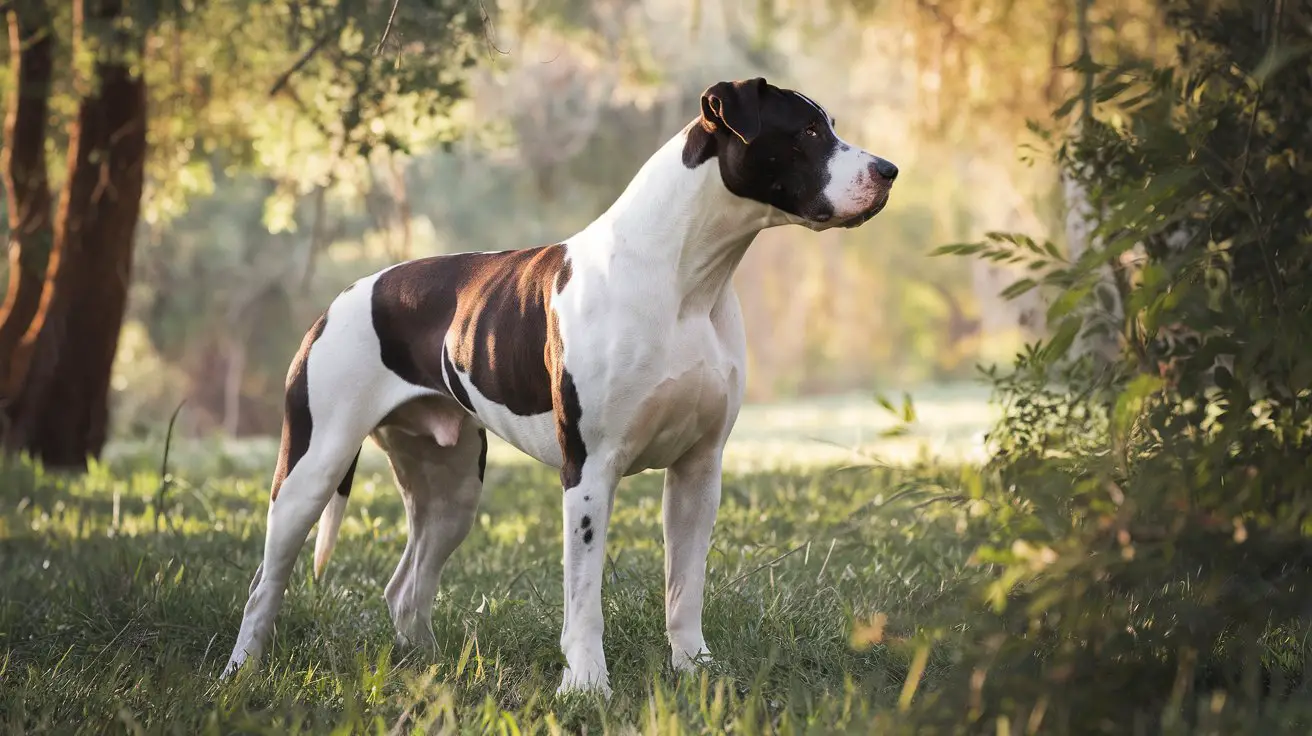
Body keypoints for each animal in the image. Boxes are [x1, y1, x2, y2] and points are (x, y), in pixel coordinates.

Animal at [225, 77, 897, 692]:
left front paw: (695, 670)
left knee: (406, 587)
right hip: (310, 470)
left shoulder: (699, 469)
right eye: (807, 131)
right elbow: (584, 597)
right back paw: (241, 672)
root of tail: (339, 300)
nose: (889, 170)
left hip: (450, 491)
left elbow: (685, 589)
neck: (686, 275)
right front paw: (586, 686)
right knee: (264, 584)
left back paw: (430, 671)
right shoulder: (589, 473)